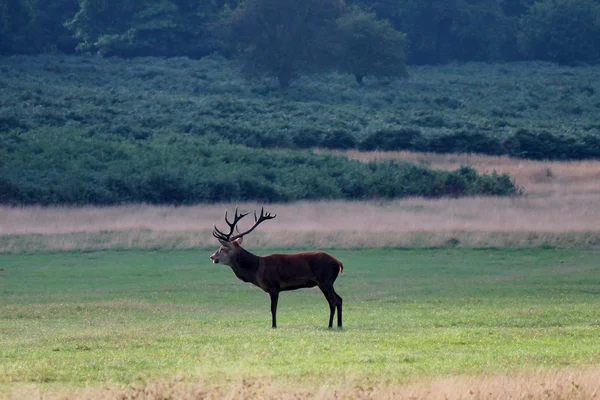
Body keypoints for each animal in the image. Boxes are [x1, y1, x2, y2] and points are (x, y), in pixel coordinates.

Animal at [210, 206, 342, 328]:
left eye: (222, 249)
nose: (212, 257)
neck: (256, 269)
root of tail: (339, 262)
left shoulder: (274, 286)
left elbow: (273, 309)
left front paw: (274, 326)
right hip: (329, 282)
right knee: (339, 300)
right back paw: (339, 325)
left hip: (325, 280)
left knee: (332, 302)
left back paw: (330, 325)